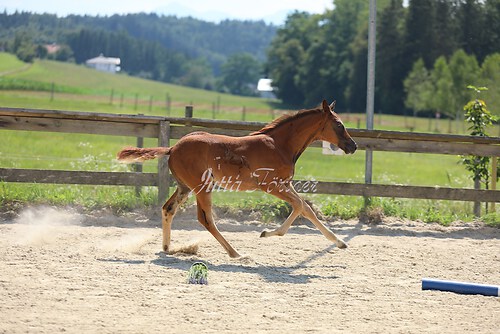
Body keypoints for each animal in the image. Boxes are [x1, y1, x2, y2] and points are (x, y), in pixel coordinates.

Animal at [118, 100, 356, 258]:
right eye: (339, 124)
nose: (353, 146)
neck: (280, 145)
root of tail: (173, 148)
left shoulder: (285, 184)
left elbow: (306, 208)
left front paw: (340, 242)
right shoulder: (271, 186)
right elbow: (299, 206)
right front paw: (267, 233)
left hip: (185, 187)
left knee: (168, 209)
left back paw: (168, 248)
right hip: (202, 187)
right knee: (205, 219)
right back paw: (235, 253)